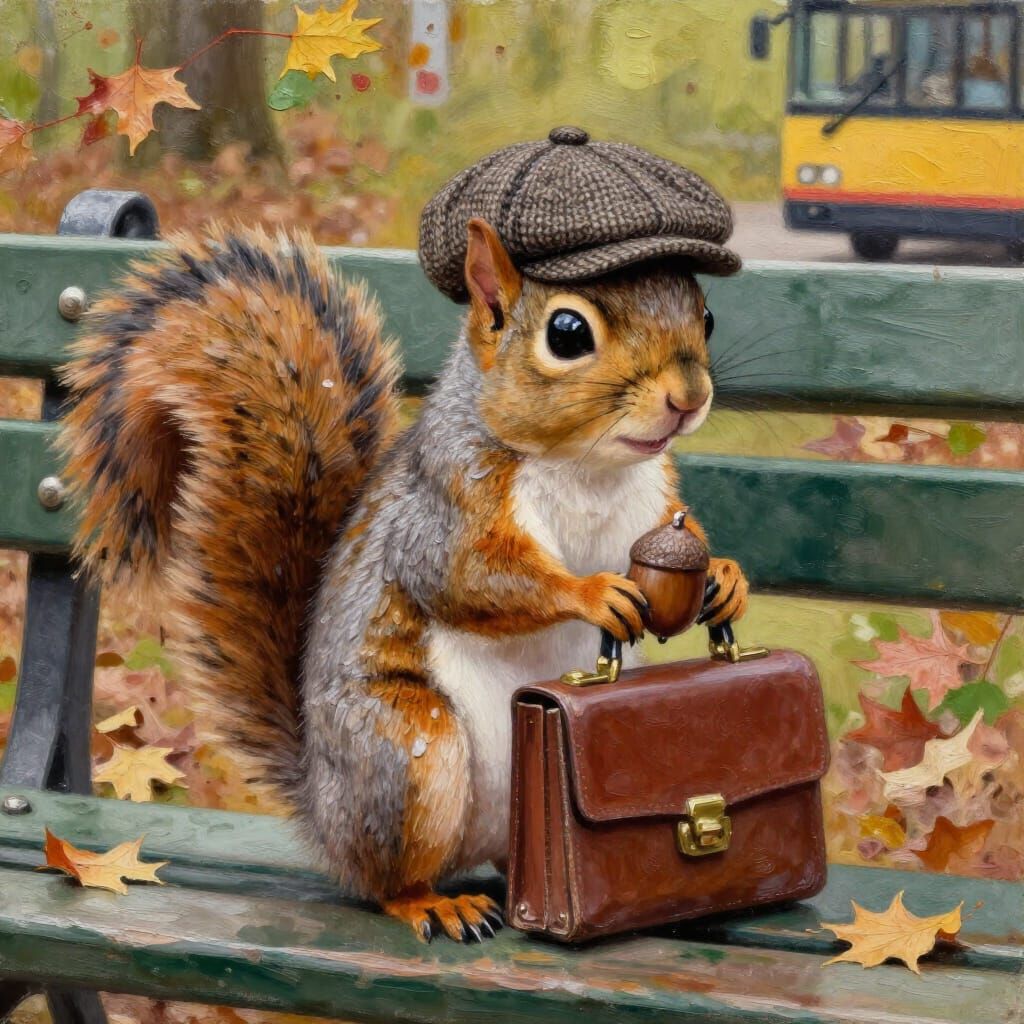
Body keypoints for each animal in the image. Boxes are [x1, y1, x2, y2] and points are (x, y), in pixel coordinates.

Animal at [59, 216, 750, 943]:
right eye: (567, 334)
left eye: (704, 315)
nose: (688, 398)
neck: (588, 467)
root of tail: (323, 813)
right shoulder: (446, 509)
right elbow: (467, 579)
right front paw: (591, 592)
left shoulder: (653, 509)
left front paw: (725, 577)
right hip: (406, 754)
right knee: (386, 880)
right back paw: (434, 903)